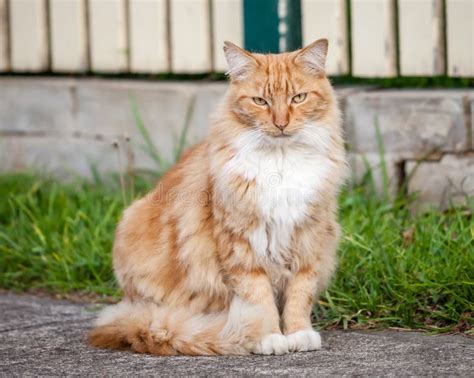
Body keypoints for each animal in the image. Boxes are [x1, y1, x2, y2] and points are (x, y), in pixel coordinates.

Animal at [89, 39, 346, 356]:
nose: (281, 123)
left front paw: (299, 334)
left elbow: (300, 296)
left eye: (298, 98)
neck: (281, 162)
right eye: (260, 101)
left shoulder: (309, 241)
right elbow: (258, 300)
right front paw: (268, 336)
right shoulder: (241, 247)